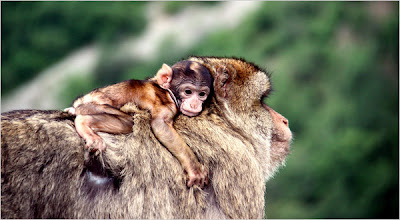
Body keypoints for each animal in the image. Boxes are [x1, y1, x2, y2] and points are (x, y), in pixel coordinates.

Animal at [66, 60, 214, 187]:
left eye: (201, 94)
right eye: (188, 91)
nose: (194, 104)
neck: (168, 92)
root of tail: (80, 101)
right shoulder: (168, 107)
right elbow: (160, 125)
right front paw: (195, 169)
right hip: (94, 106)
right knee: (128, 122)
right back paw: (84, 123)